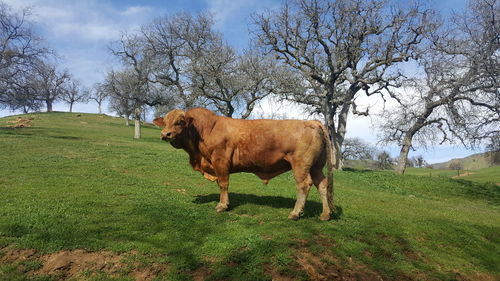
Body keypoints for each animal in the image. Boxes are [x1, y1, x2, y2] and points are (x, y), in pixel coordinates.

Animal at [152, 107, 332, 219]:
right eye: (165, 122)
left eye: (180, 122)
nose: (165, 134)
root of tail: (311, 122)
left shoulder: (220, 161)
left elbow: (223, 184)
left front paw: (222, 205)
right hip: (316, 166)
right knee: (322, 184)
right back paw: (325, 214)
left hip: (301, 165)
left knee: (304, 185)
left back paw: (295, 213)